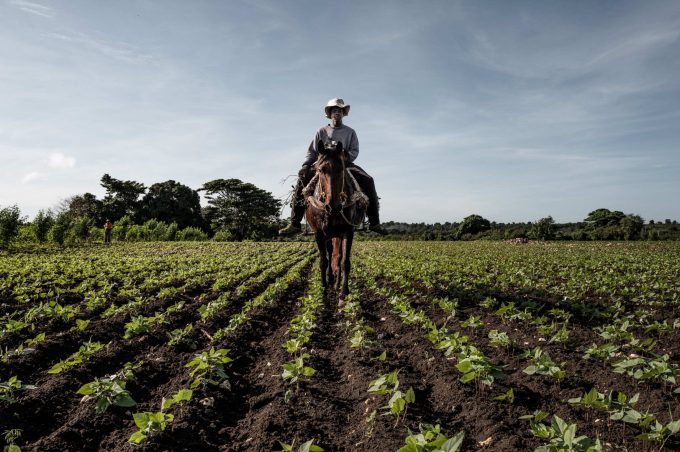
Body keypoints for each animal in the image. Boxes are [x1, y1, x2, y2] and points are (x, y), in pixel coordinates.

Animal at [303, 140, 368, 299]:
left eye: (341, 169)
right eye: (320, 170)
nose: (333, 207)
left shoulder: (348, 232)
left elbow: (344, 262)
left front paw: (344, 291)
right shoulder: (319, 234)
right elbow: (323, 261)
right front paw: (323, 289)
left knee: (337, 257)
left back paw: (336, 283)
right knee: (330, 254)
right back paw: (330, 280)